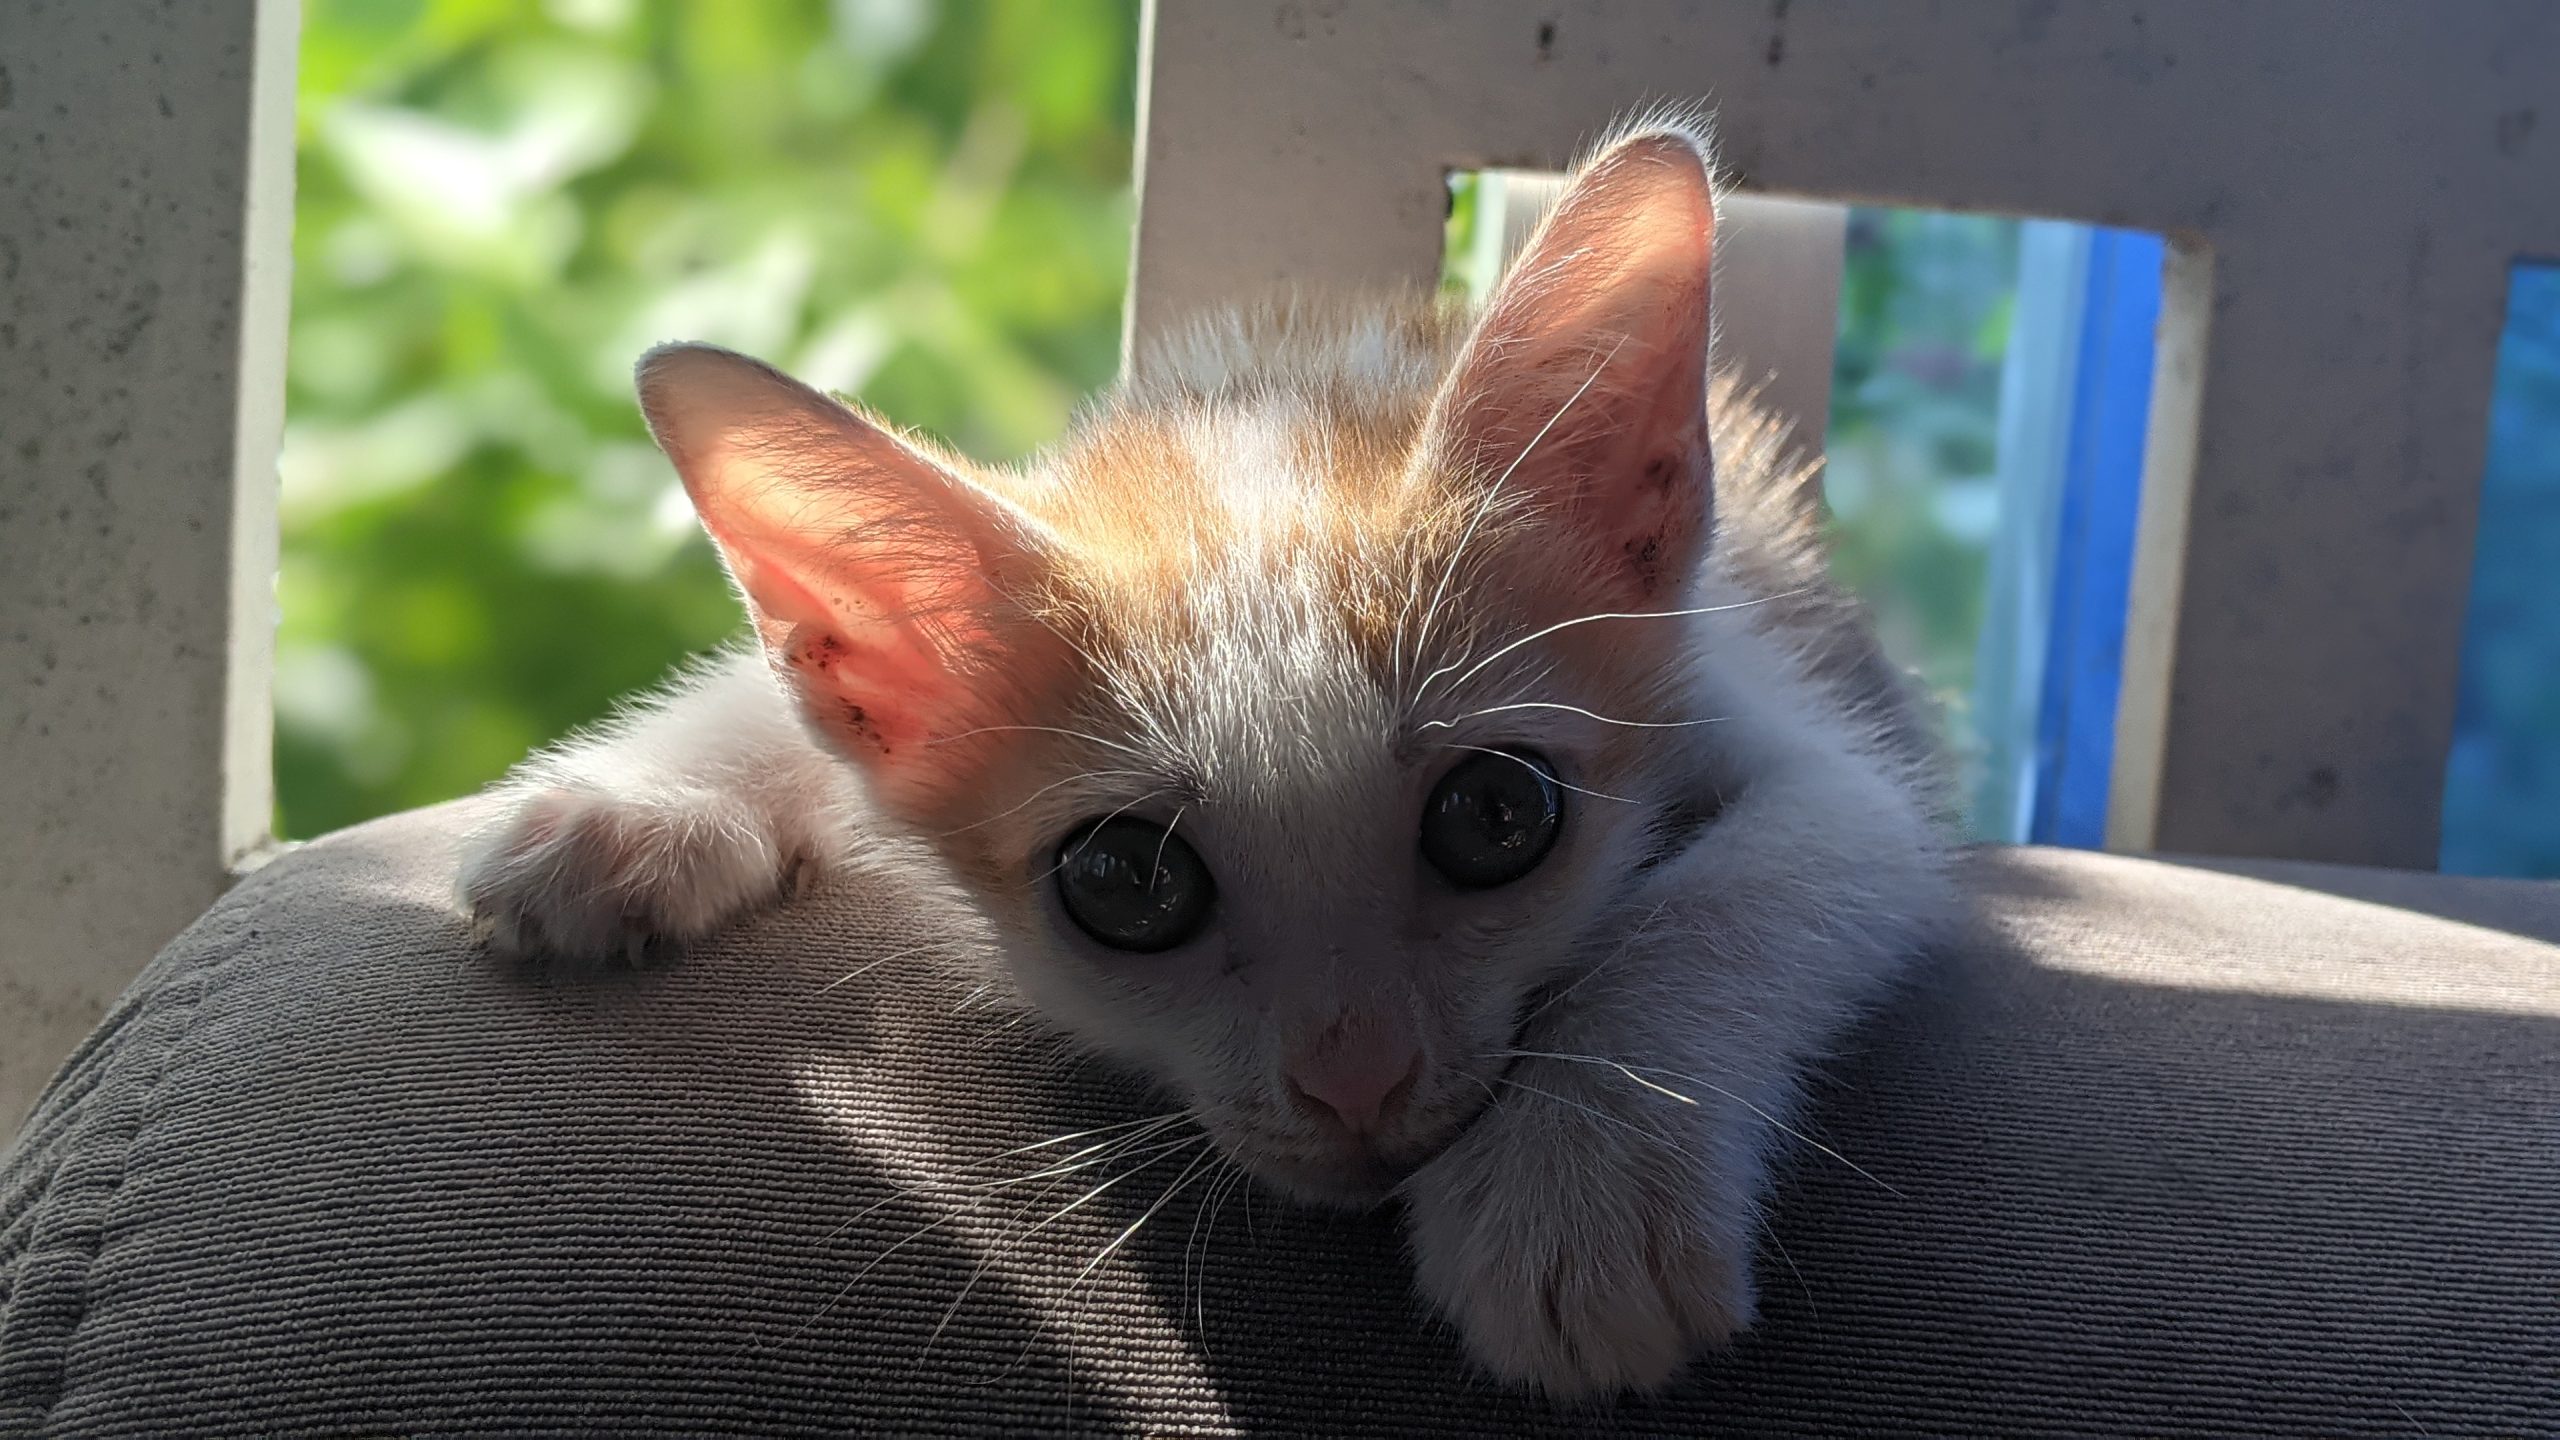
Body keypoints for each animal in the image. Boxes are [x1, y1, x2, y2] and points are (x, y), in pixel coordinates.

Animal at [460, 117, 1945, 1393]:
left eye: (1496, 815)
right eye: (1128, 884)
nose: (1357, 1082)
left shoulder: (1793, 722)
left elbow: (1768, 877)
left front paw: (1576, 1182)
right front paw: (624, 805)